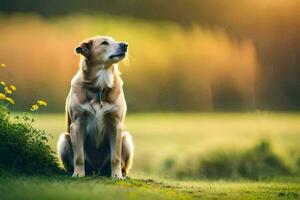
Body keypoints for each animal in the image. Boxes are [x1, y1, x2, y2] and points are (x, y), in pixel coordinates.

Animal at [57, 36, 134, 180]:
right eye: (104, 43)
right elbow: (79, 157)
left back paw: (122, 174)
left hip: (126, 138)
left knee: (123, 164)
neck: (99, 87)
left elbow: (115, 157)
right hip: (64, 140)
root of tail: (97, 170)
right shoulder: (77, 125)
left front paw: (116, 175)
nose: (125, 45)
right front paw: (78, 174)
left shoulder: (116, 125)